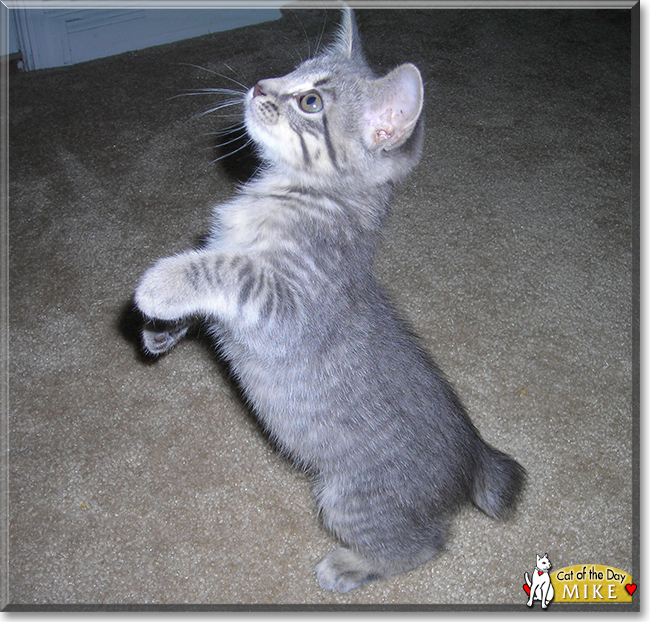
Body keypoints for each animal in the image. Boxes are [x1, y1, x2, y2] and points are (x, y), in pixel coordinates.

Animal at [134, 9, 524, 596]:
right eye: (291, 69)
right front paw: (161, 328)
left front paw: (160, 283)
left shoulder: (290, 302)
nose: (259, 86)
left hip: (348, 499)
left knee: (424, 546)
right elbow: (210, 277)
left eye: (311, 101)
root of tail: (472, 451)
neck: (295, 194)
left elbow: (226, 268)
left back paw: (351, 565)